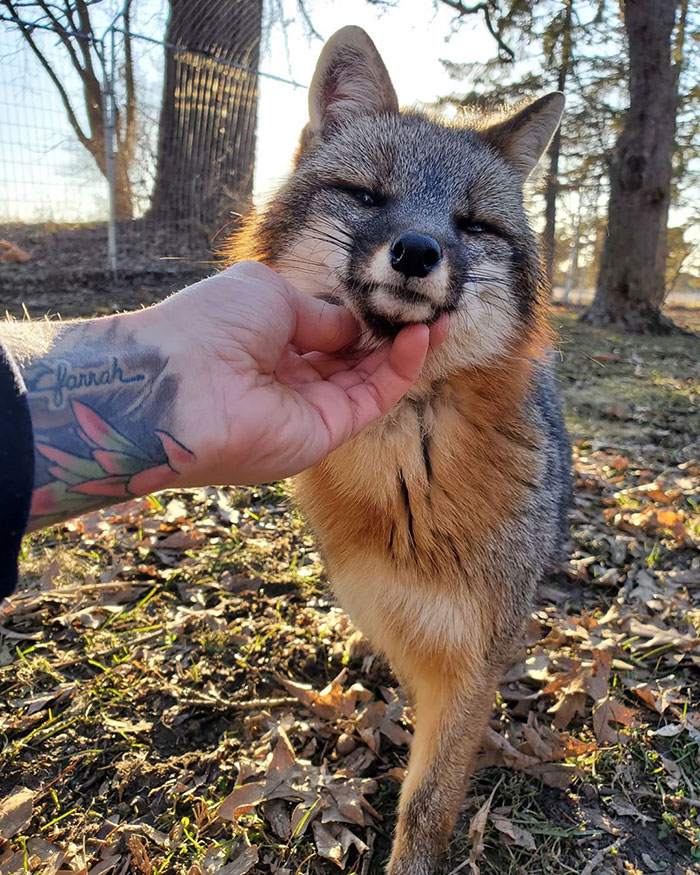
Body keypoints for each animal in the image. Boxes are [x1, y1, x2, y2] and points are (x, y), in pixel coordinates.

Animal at [227, 25, 572, 875]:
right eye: (367, 196)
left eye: (474, 224)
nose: (417, 250)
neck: (402, 482)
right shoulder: (385, 603)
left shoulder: (471, 656)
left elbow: (426, 807)